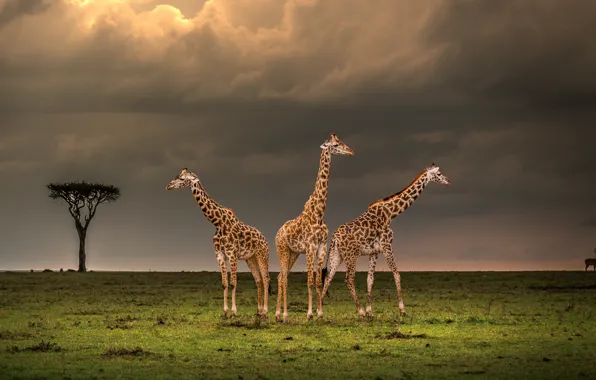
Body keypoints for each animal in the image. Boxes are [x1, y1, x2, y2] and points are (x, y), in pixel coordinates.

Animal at [166, 168, 272, 320]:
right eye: (177, 176)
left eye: (182, 179)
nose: (168, 186)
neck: (218, 223)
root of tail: (265, 239)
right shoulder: (220, 255)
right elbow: (224, 284)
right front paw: (224, 312)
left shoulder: (232, 254)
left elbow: (233, 283)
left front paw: (233, 312)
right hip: (250, 258)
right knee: (259, 280)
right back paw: (258, 311)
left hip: (262, 255)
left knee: (266, 278)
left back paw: (265, 312)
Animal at [276, 132, 354, 322]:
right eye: (335, 145)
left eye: (341, 141)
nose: (350, 151)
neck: (319, 214)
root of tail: (277, 233)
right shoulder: (310, 247)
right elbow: (310, 282)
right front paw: (309, 313)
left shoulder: (321, 247)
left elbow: (319, 282)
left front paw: (320, 313)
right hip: (282, 250)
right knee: (283, 279)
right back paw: (284, 315)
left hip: (293, 253)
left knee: (280, 276)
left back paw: (277, 314)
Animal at [318, 161, 450, 318]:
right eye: (439, 173)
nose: (448, 181)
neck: (391, 213)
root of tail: (335, 238)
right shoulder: (387, 246)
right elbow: (397, 274)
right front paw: (402, 310)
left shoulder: (374, 252)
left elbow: (370, 279)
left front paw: (370, 311)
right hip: (351, 255)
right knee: (348, 279)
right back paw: (359, 311)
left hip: (336, 255)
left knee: (328, 278)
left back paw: (320, 312)